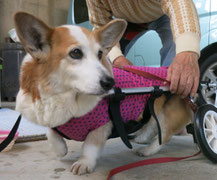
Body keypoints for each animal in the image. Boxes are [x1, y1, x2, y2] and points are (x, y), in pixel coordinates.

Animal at [15, 12, 192, 176]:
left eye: (100, 54)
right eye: (75, 53)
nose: (110, 83)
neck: (66, 96)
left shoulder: (102, 125)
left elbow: (90, 146)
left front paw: (84, 163)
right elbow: (51, 133)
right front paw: (60, 150)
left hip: (166, 114)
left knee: (165, 135)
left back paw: (148, 150)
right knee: (152, 126)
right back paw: (141, 138)